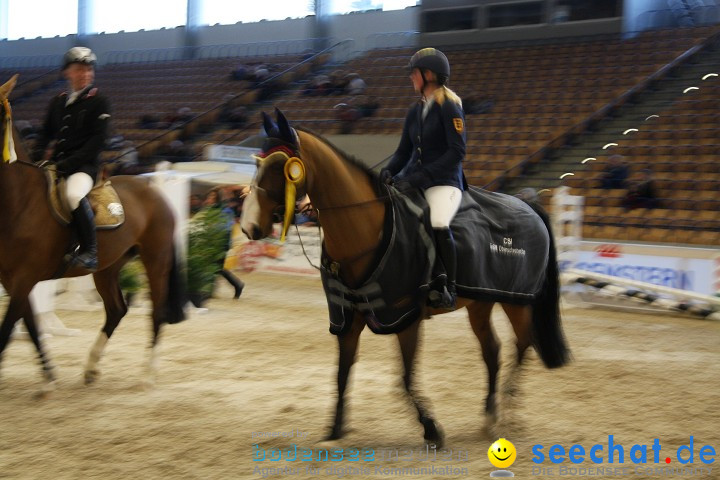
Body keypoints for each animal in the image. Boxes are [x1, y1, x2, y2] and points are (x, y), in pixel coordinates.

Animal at [1, 74, 186, 390]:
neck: (19, 200)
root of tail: (154, 191)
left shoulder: (25, 277)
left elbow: (8, 328)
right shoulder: (11, 280)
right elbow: (29, 325)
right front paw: (48, 377)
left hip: (156, 261)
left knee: (156, 311)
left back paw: (148, 374)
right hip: (108, 268)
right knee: (116, 310)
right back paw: (90, 368)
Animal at [245, 109, 572, 446]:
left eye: (280, 166)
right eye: (258, 163)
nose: (251, 227)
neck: (367, 228)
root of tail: (529, 206)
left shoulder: (405, 318)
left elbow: (404, 378)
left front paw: (431, 427)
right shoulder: (348, 318)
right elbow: (342, 373)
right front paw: (334, 430)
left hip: (517, 302)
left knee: (523, 344)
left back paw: (505, 412)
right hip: (479, 303)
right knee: (493, 351)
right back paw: (490, 415)